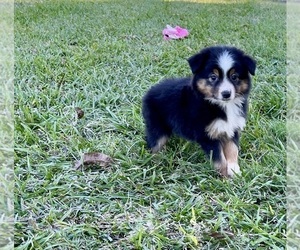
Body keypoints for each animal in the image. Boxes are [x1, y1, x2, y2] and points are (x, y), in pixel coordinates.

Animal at [142, 45, 255, 178]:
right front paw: (224, 177)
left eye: (234, 77)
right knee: (155, 143)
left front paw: (234, 171)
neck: (221, 105)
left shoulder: (232, 128)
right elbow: (219, 159)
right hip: (156, 125)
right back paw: (157, 161)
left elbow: (233, 150)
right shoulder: (207, 135)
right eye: (213, 77)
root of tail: (150, 91)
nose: (226, 94)